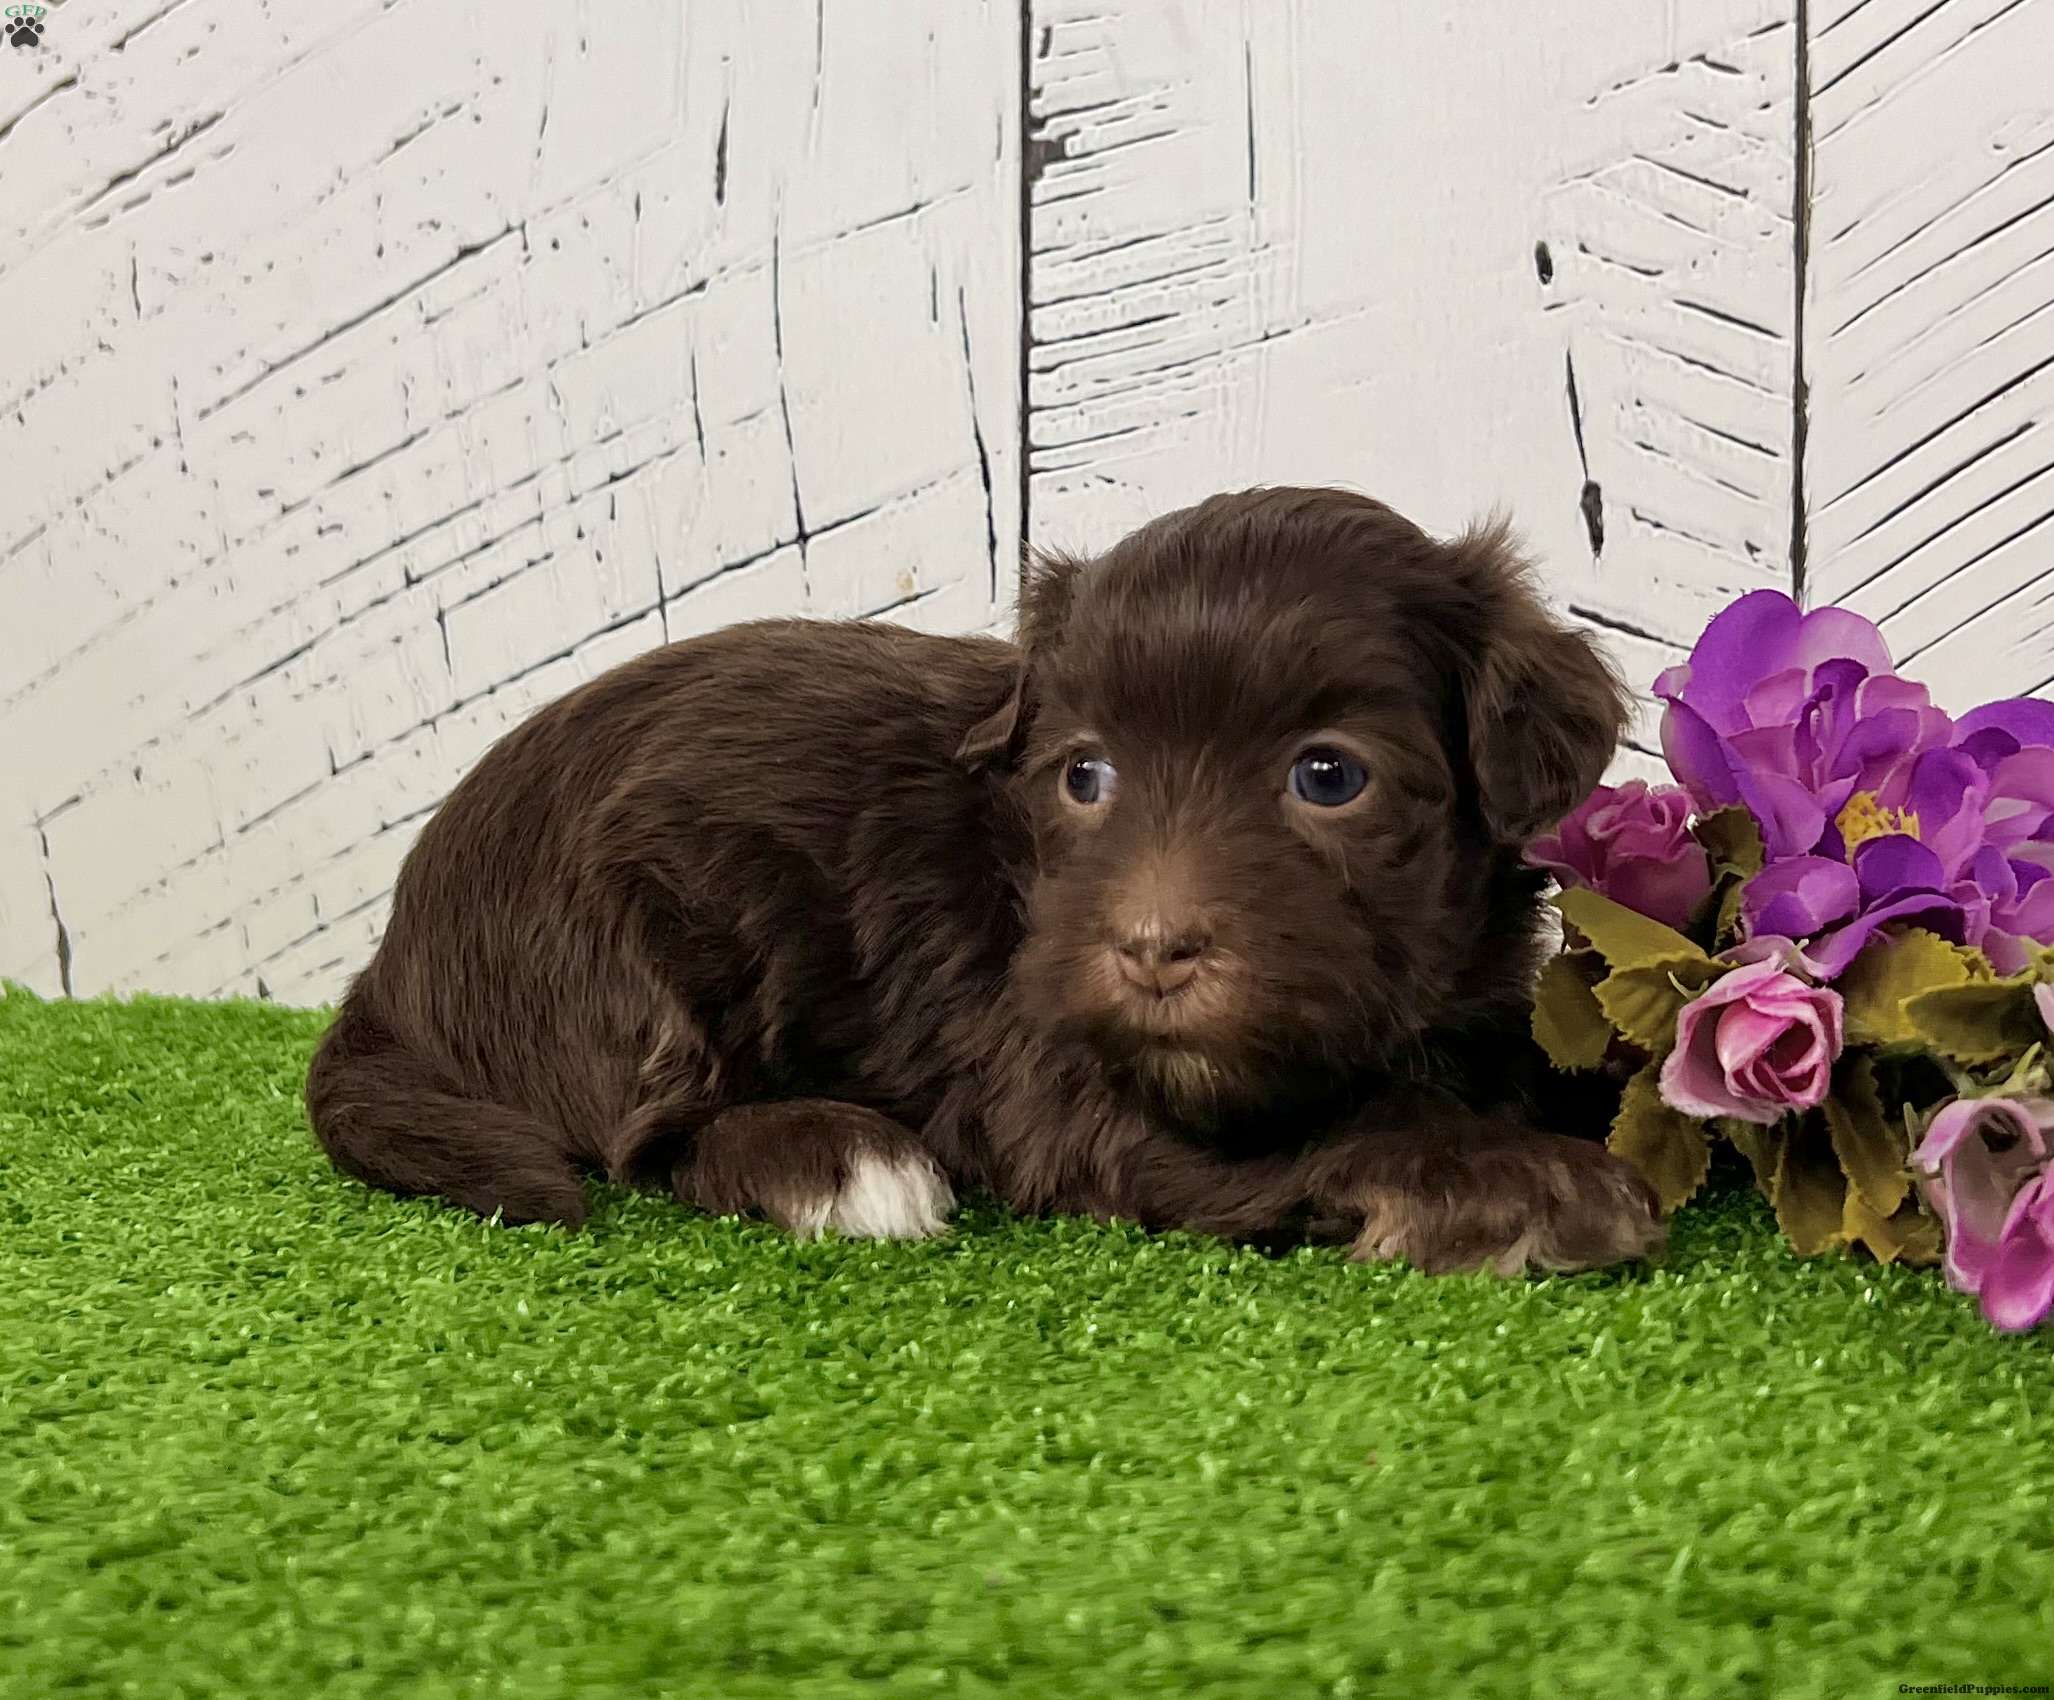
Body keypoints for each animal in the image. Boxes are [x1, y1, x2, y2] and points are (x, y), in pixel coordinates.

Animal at [307, 486, 1664, 1274]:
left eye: (1327, 776)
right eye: (1084, 775)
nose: (1151, 948)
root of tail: (392, 958)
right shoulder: (1052, 1073)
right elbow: (1339, 1119)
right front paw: (1519, 1183)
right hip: (636, 933)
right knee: (653, 1130)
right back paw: (835, 1160)